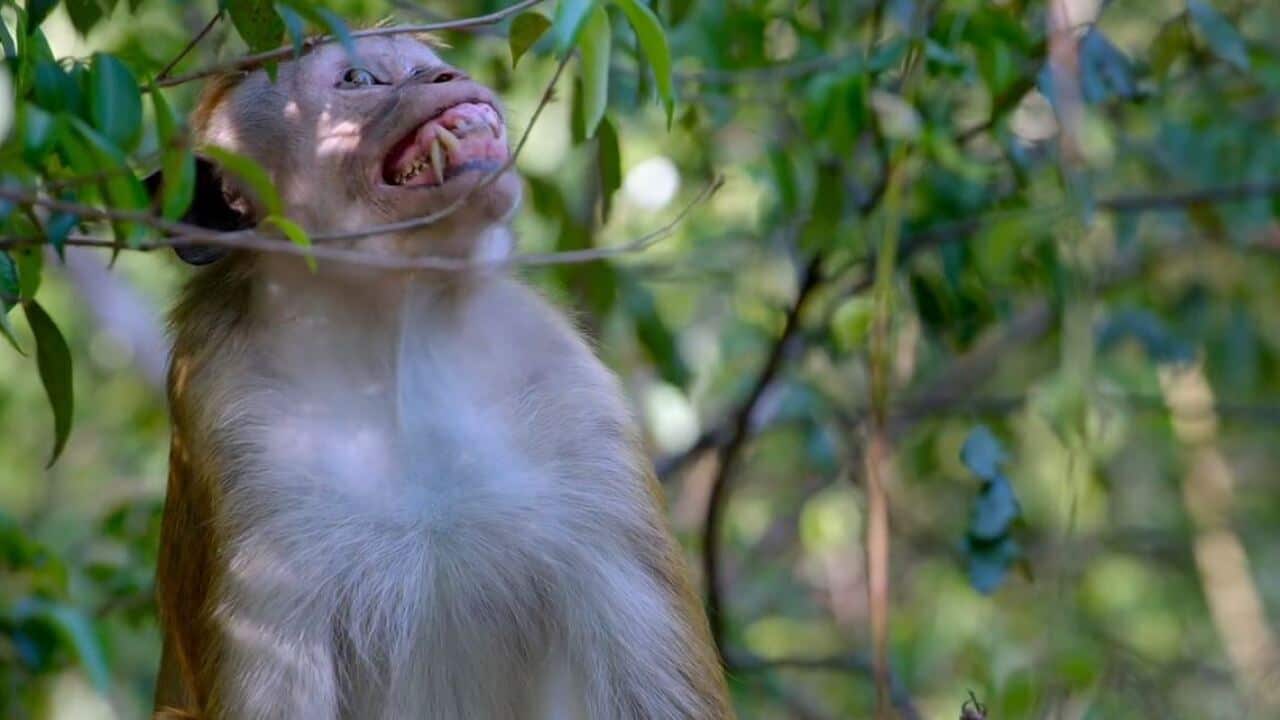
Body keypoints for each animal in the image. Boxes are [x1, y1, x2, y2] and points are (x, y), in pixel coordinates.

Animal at [148, 34, 733, 720]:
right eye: (358, 78)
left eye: (421, 64)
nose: (446, 77)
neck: (399, 334)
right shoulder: (234, 427)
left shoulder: (571, 392)